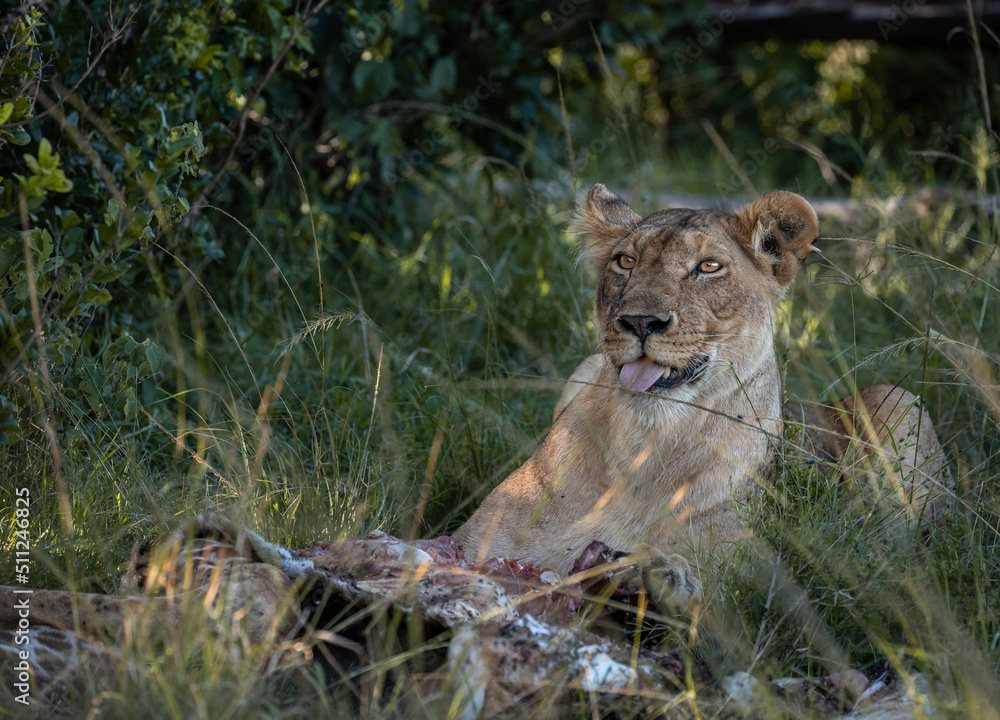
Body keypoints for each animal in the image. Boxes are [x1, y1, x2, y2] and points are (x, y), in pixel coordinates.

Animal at [452, 185, 951, 611]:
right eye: (625, 260)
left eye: (708, 267)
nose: (640, 321)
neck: (643, 449)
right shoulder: (470, 546)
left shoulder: (741, 589)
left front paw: (661, 579)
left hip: (898, 399)